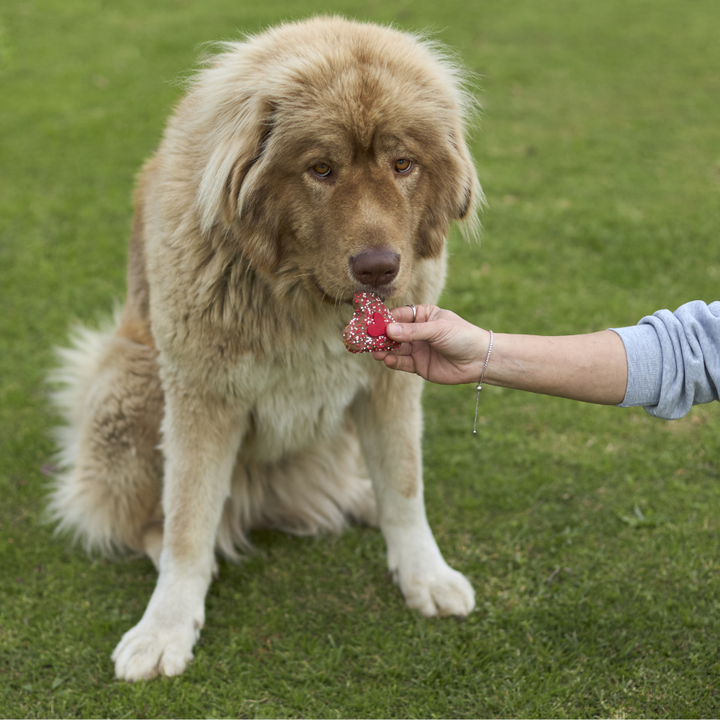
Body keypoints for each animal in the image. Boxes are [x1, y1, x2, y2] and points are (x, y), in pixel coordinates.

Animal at [50, 16, 484, 680]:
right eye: (321, 169)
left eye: (403, 164)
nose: (380, 268)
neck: (302, 296)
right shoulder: (201, 396)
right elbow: (186, 522)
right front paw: (166, 627)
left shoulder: (390, 383)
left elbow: (405, 486)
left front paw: (424, 575)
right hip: (131, 378)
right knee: (149, 518)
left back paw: (356, 498)